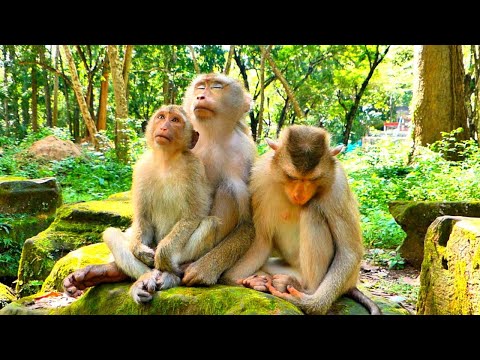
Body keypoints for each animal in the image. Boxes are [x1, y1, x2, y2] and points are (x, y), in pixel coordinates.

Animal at [62, 105, 220, 304]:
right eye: (161, 117)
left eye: (175, 120)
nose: (164, 127)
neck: (166, 161)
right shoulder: (141, 168)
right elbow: (142, 218)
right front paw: (140, 252)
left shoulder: (195, 168)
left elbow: (193, 217)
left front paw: (163, 255)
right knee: (111, 234)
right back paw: (145, 278)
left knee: (210, 224)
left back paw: (169, 274)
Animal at [226, 124, 382, 316]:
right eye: (291, 176)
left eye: (313, 179)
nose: (299, 195)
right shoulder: (259, 179)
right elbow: (262, 238)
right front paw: (241, 280)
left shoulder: (337, 187)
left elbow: (349, 252)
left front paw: (310, 304)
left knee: (312, 210)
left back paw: (300, 288)